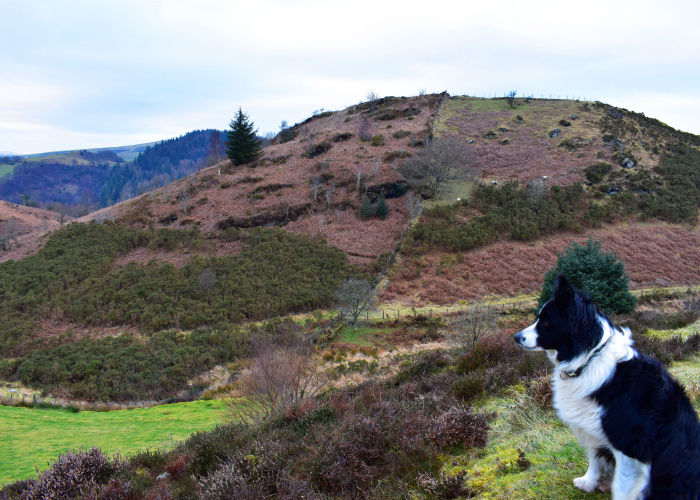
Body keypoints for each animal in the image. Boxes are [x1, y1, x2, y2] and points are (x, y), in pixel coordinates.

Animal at [516, 276, 700, 498]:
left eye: (545, 321)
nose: (516, 337)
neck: (590, 358)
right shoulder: (593, 429)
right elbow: (594, 459)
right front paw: (588, 482)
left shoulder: (630, 447)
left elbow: (622, 485)